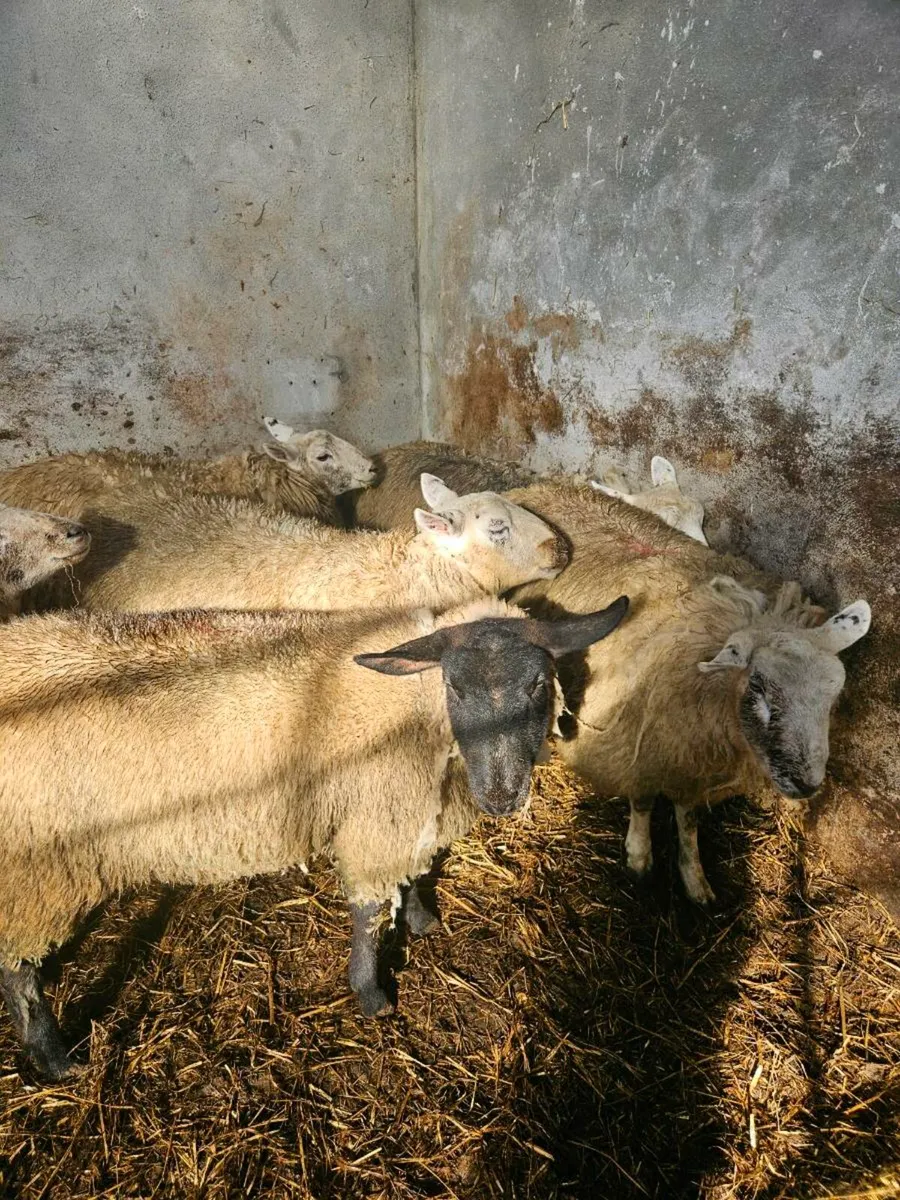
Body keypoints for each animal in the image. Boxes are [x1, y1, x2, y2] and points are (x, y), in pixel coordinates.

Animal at [0, 595, 629, 1078]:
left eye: (539, 684)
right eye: (454, 686)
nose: (501, 796)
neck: (415, 711)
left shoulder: (411, 811)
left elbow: (416, 871)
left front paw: (423, 919)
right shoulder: (377, 818)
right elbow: (370, 912)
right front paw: (370, 994)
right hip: (33, 874)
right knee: (17, 972)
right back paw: (54, 1058)